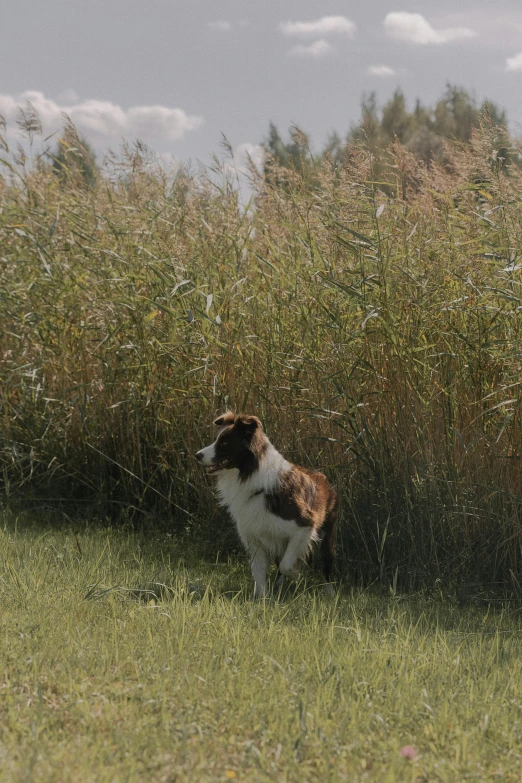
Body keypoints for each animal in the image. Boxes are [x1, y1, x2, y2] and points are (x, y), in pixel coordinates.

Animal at [195, 414, 338, 596]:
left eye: (225, 443)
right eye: (216, 439)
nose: (197, 455)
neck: (250, 476)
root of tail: (323, 477)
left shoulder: (304, 525)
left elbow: (286, 565)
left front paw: (295, 572)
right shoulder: (253, 537)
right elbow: (259, 571)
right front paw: (262, 598)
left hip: (327, 536)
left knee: (326, 568)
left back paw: (330, 593)